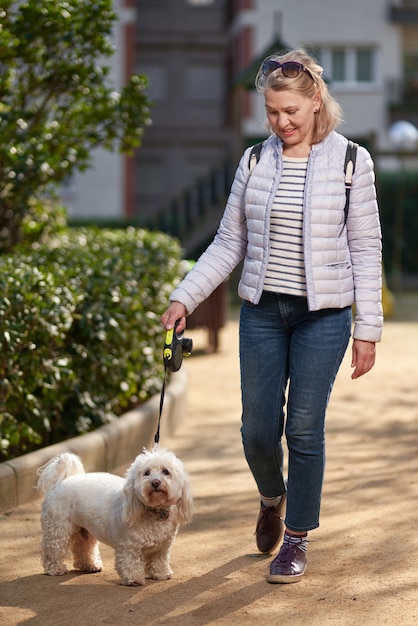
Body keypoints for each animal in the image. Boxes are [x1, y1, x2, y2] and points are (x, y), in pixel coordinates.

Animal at [36, 444, 193, 584]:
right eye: (146, 473)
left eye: (166, 472)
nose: (155, 482)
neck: (153, 511)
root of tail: (60, 482)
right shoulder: (128, 546)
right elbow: (130, 562)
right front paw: (133, 579)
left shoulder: (162, 547)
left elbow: (159, 560)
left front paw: (161, 574)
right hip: (58, 529)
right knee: (53, 550)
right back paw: (55, 569)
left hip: (84, 531)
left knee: (83, 548)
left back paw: (90, 565)